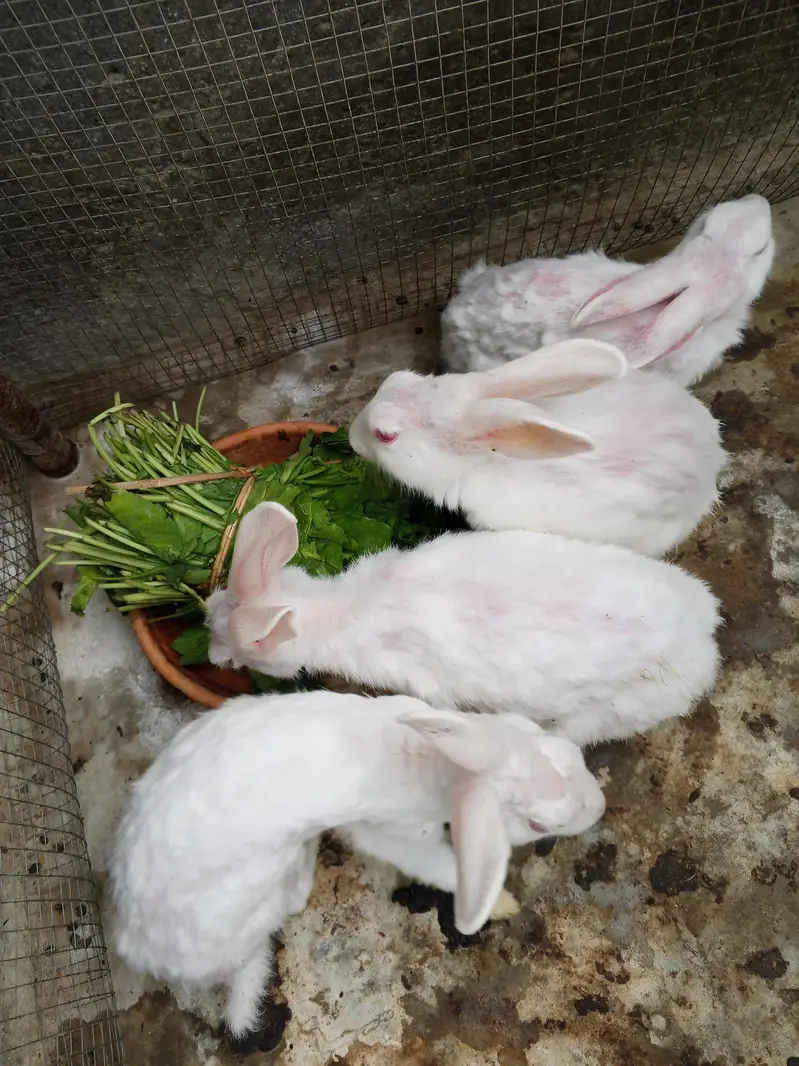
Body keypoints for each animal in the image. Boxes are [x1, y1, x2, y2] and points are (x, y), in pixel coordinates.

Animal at [110, 689, 606, 1038]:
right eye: (539, 823)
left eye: (559, 748)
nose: (598, 806)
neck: (433, 764)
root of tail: (137, 949)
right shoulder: (393, 834)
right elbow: (436, 863)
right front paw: (504, 904)